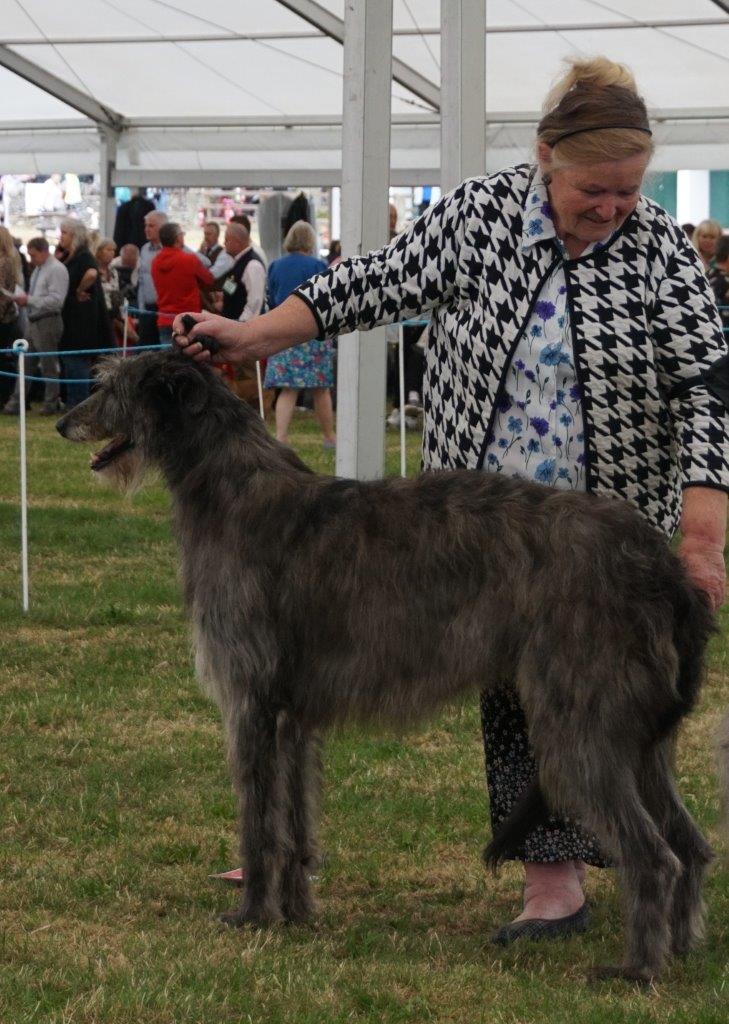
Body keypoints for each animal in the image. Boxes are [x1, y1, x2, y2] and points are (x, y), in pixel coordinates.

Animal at [58, 352, 716, 983]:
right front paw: (296, 912)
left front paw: (251, 915)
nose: (65, 421)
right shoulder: (293, 717)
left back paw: (637, 968)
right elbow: (294, 821)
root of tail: (663, 567)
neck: (229, 483)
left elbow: (257, 820)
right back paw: (682, 950)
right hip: (637, 734)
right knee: (690, 842)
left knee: (653, 854)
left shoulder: (250, 700)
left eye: (113, 386)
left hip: (579, 724)